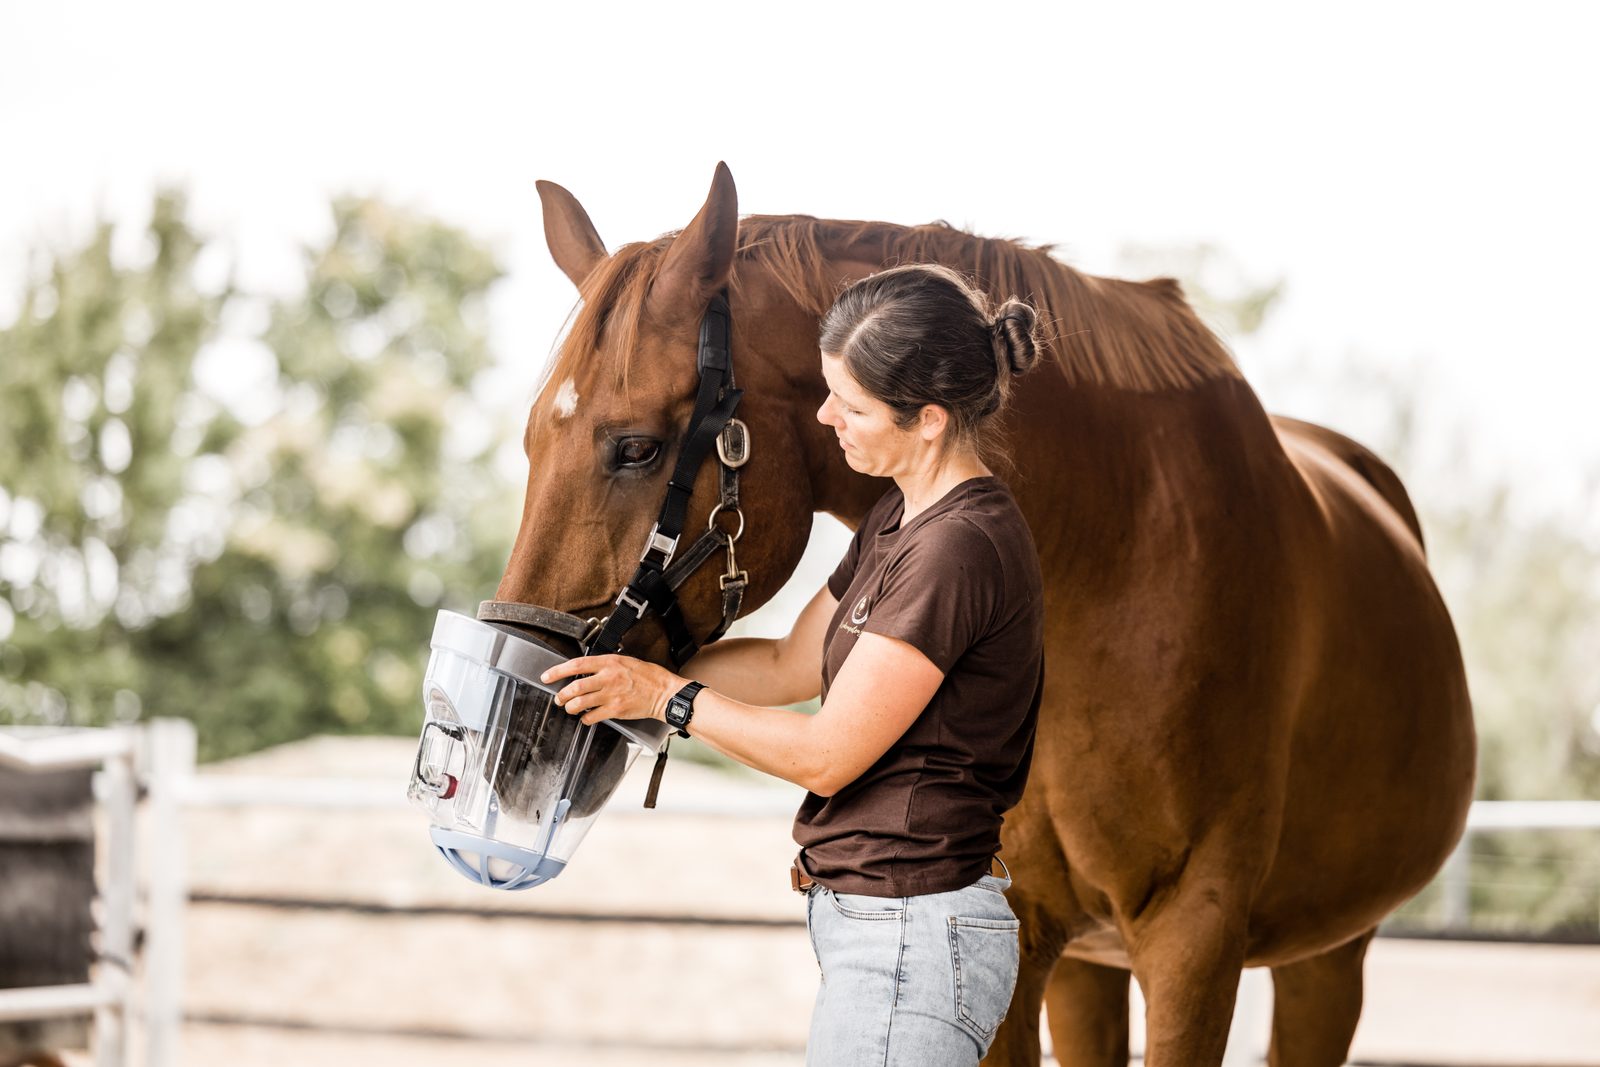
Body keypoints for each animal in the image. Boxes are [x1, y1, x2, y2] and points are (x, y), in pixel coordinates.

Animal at [493, 162, 1475, 1066]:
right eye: (532, 437)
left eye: (635, 447)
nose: (524, 731)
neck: (1114, 549)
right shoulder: (1022, 932)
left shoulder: (1196, 936)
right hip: (1093, 965)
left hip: (1327, 958)